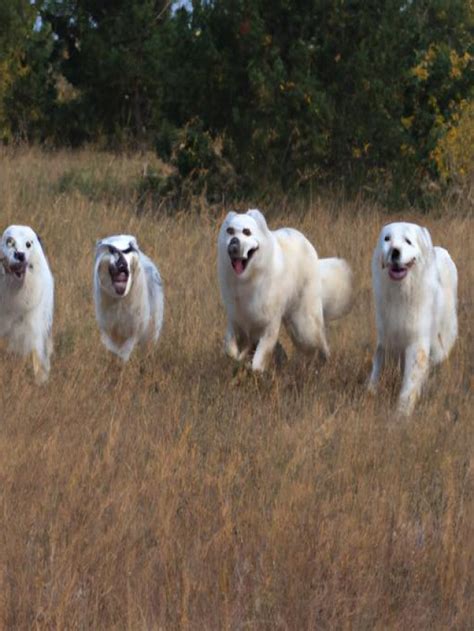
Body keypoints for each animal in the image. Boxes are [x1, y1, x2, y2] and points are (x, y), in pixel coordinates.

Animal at [218, 210, 352, 372]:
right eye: (230, 231)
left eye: (247, 232)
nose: (233, 245)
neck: (248, 277)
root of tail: (307, 243)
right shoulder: (236, 320)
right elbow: (230, 350)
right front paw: (240, 359)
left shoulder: (270, 324)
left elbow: (259, 359)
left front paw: (255, 368)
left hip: (304, 325)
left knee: (319, 343)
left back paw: (325, 362)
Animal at [368, 220, 458, 418]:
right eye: (387, 239)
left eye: (408, 241)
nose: (394, 251)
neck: (402, 292)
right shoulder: (386, 336)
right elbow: (378, 364)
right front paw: (371, 390)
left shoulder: (417, 343)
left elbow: (411, 381)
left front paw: (401, 413)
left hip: (441, 342)